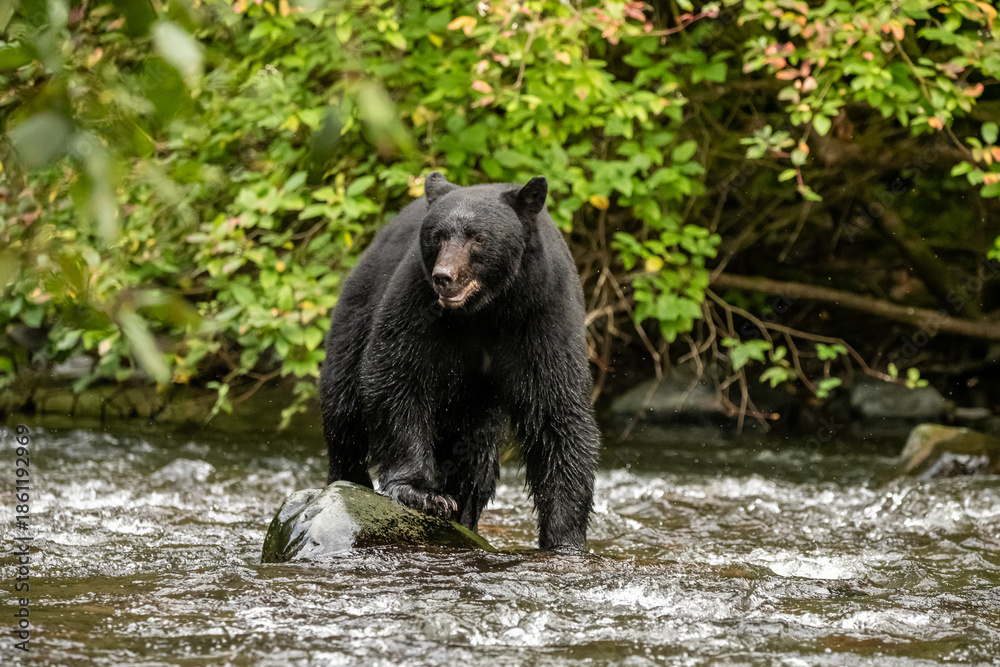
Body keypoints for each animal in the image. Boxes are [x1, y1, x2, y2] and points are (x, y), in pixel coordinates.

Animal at [318, 172, 600, 551]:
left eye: (479, 237)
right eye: (437, 236)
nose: (444, 276)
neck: (485, 312)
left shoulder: (543, 315)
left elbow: (556, 411)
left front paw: (565, 536)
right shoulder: (417, 304)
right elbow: (396, 376)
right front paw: (423, 494)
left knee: (475, 458)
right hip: (357, 312)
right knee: (344, 412)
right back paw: (348, 481)